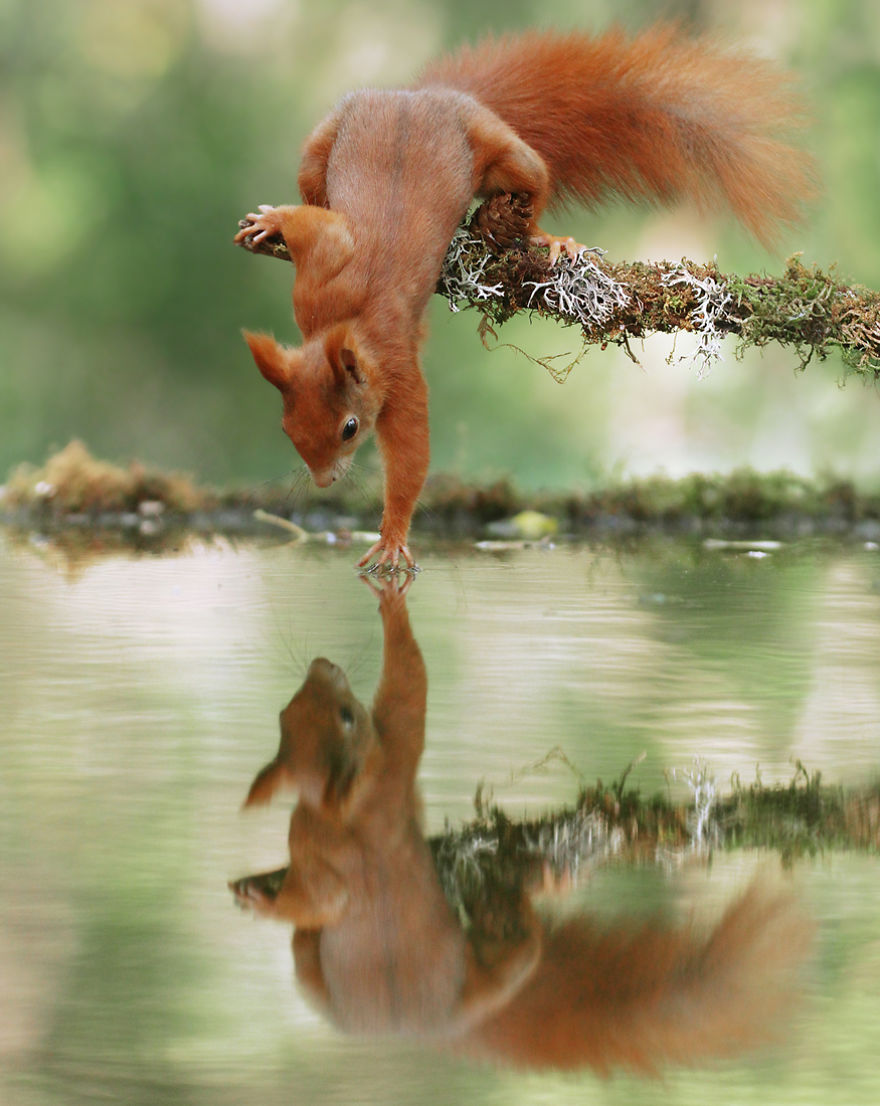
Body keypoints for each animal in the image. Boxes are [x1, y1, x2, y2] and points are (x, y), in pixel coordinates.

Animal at [228, 579, 809, 1070]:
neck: (340, 810)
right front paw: (393, 603)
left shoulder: (311, 836)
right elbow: (410, 687)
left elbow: (314, 896)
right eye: (346, 716)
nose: (322, 664)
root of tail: (434, 1032)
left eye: (285, 713)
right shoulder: (393, 766)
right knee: (518, 941)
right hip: (479, 969)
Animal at [233, 25, 809, 570]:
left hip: (501, 151)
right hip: (323, 144)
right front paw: (271, 221)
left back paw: (546, 239)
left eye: (350, 428)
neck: (344, 323)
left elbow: (412, 456)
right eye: (285, 425)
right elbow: (313, 223)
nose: (324, 482)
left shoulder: (396, 369)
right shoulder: (321, 275)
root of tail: (426, 95)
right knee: (313, 187)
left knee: (531, 181)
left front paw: (393, 538)